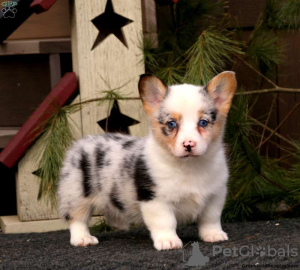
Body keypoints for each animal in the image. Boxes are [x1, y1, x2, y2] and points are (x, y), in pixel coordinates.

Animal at [57, 71, 237, 251]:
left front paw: (213, 235)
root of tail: (80, 143)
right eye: (171, 124)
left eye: (203, 122)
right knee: (77, 218)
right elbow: (165, 221)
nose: (188, 144)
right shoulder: (155, 198)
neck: (190, 167)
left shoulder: (215, 195)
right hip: (76, 193)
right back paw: (83, 238)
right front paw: (168, 241)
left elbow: (210, 218)